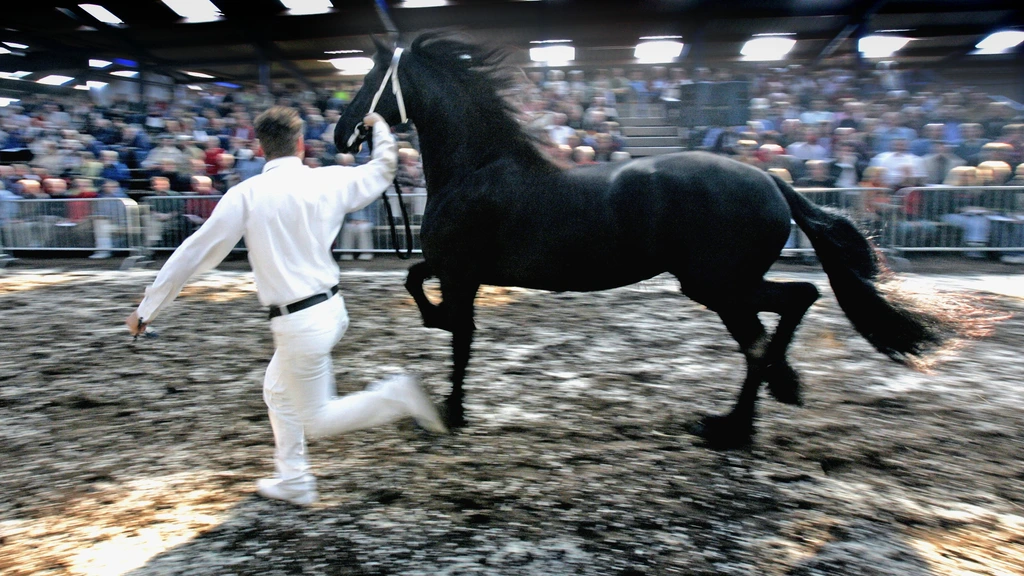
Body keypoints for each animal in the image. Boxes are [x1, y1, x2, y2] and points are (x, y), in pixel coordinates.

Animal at [335, 33, 957, 449]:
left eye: (366, 80)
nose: (341, 133)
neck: (477, 170)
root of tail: (772, 180)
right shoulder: (456, 270)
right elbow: (425, 292)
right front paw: (446, 371)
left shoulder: (461, 272)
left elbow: (453, 329)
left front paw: (451, 409)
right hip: (726, 285)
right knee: (779, 318)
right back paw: (765, 400)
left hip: (717, 284)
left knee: (781, 317)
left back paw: (734, 424)